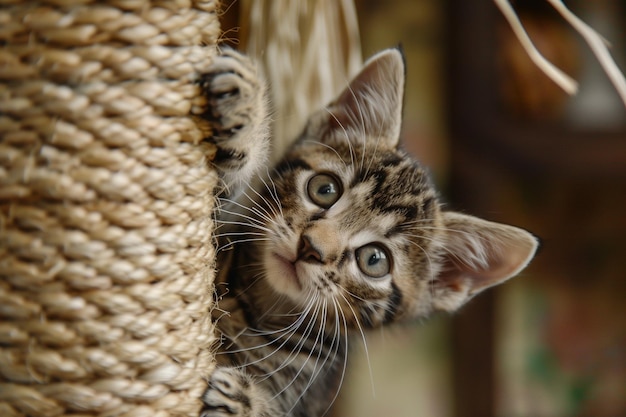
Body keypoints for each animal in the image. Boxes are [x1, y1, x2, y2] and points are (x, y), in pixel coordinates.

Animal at [199, 48, 536, 416]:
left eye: (374, 260)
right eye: (325, 189)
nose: (310, 248)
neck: (261, 310)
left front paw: (243, 399)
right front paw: (243, 107)